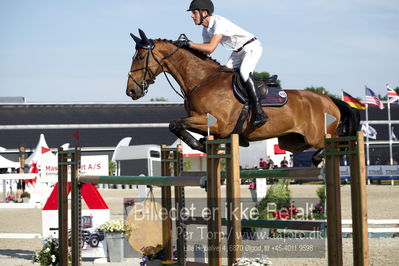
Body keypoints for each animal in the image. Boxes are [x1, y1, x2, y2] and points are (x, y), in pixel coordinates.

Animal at [126, 30, 360, 165]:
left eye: (140, 57)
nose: (131, 91)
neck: (202, 80)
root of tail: (329, 99)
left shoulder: (219, 124)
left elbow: (175, 123)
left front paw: (199, 145)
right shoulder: (208, 124)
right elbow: (177, 125)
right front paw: (201, 144)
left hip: (316, 136)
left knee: (336, 143)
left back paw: (320, 158)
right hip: (292, 141)